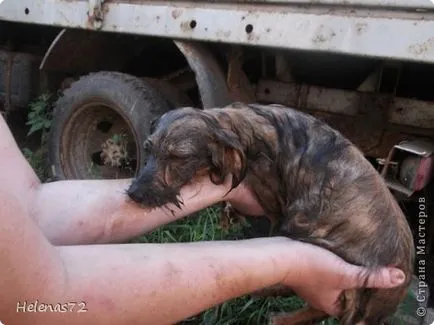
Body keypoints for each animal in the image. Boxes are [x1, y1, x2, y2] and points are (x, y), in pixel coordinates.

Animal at [127, 102, 416, 324]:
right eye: (148, 149)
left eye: (179, 158)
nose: (133, 193)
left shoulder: (276, 202)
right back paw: (282, 318)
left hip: (305, 225)